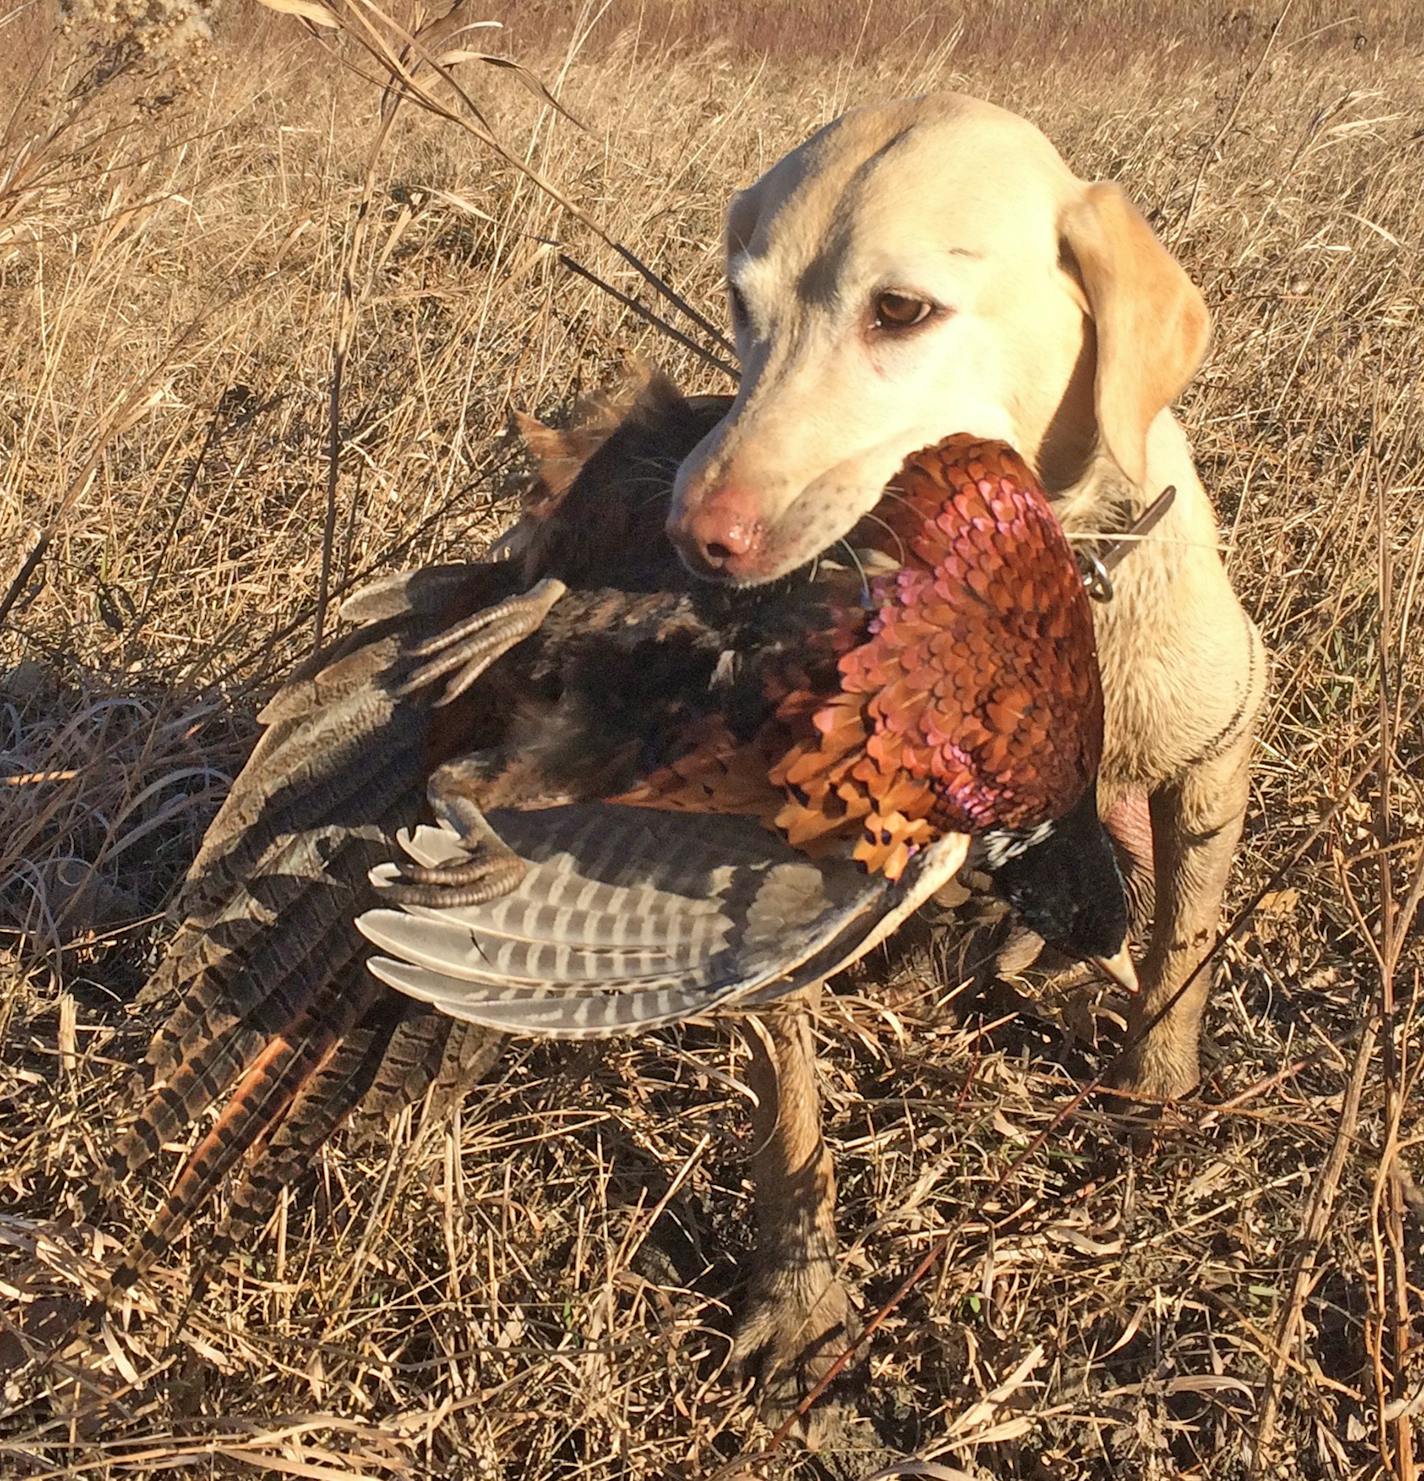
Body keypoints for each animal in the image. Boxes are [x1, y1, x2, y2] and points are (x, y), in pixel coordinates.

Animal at [657, 95, 1267, 1421]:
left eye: (899, 309)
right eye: (740, 300)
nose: (695, 534)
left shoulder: (1216, 743)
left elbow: (1183, 941)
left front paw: (1155, 1087)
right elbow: (787, 1117)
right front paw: (798, 1296)